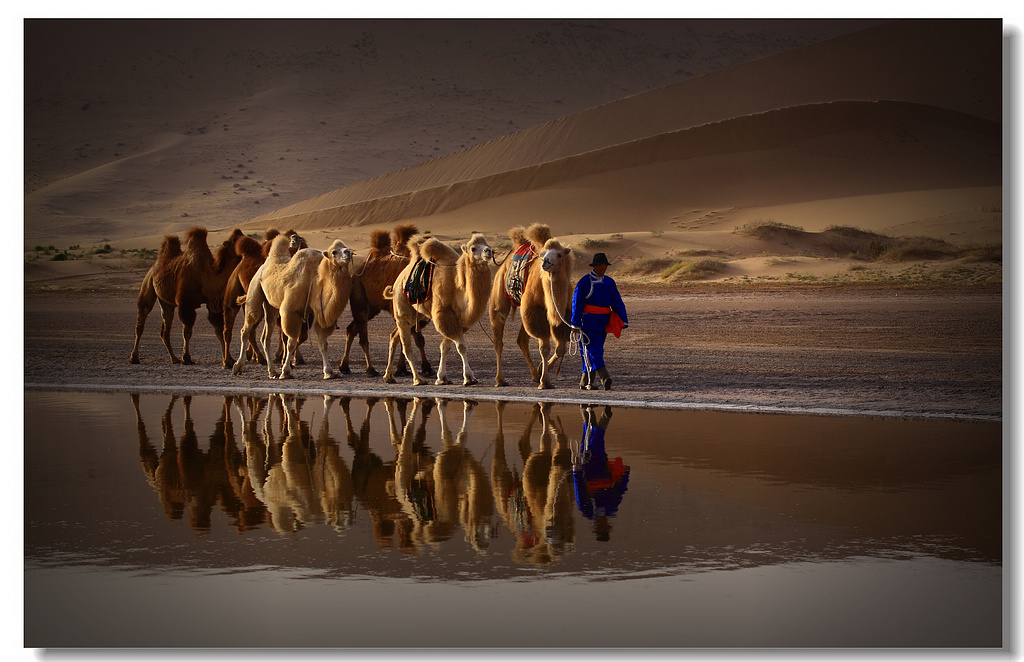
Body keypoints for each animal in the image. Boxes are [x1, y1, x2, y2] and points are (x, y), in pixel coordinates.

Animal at [130, 225, 243, 364]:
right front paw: (186, 358)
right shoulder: (185, 303)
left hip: (166, 302)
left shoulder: (212, 302)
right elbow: (187, 331)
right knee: (141, 318)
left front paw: (229, 359)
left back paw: (174, 359)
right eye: (235, 240)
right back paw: (134, 357)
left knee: (165, 329)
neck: (208, 275)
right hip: (148, 283)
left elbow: (219, 330)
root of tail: (154, 266)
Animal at [233, 235, 356, 381]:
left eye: (346, 247)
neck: (315, 279)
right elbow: (291, 343)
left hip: (270, 306)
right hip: (255, 287)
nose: (347, 252)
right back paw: (238, 367)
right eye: (334, 252)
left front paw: (329, 372)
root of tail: (265, 264)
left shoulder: (320, 313)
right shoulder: (290, 312)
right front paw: (286, 371)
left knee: (266, 336)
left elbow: (323, 344)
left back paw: (272, 371)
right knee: (247, 326)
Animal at [337, 223, 430, 379]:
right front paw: (417, 368)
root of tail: (357, 271)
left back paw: (344, 366)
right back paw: (370, 369)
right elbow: (411, 338)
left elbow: (414, 338)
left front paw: (408, 369)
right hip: (359, 293)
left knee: (351, 328)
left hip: (372, 307)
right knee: (363, 337)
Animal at [385, 234, 495, 387]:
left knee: (394, 336)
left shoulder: (458, 321)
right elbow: (461, 346)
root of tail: (397, 281)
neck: (457, 286)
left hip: (416, 316)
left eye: (487, 244)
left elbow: (445, 347)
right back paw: (418, 379)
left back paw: (388, 376)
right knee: (407, 347)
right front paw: (469, 378)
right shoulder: (443, 314)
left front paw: (442, 378)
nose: (488, 251)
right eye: (473, 248)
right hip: (402, 307)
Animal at [487, 223, 577, 389]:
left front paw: (543, 369)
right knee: (498, 339)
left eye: (559, 255)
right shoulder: (537, 311)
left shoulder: (563, 314)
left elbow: (561, 348)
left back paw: (535, 374)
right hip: (499, 292)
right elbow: (544, 347)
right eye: (543, 254)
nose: (546, 262)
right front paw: (545, 381)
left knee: (522, 340)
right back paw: (500, 379)